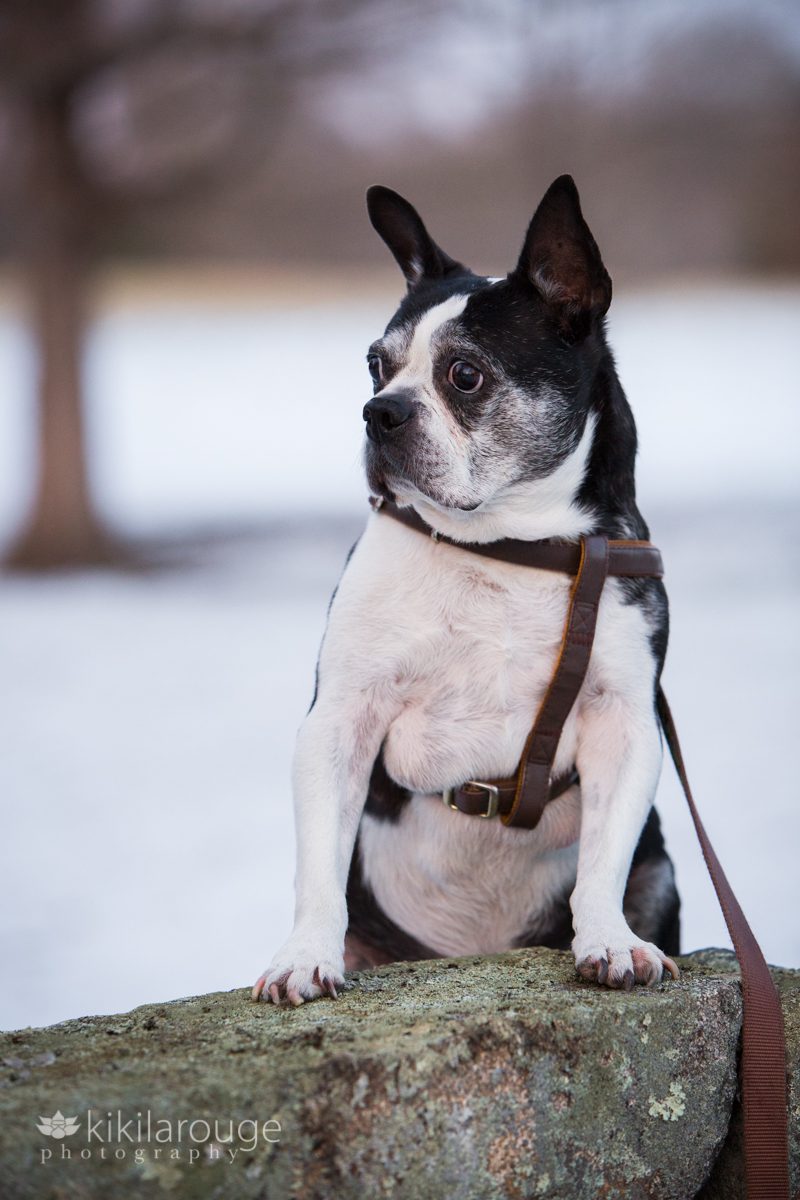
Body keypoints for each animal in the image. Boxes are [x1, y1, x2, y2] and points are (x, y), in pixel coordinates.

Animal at [253, 175, 681, 1003]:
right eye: (374, 366)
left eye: (465, 374)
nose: (378, 411)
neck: (505, 546)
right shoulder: (342, 717)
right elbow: (318, 864)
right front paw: (302, 957)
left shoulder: (625, 723)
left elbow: (603, 861)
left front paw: (611, 941)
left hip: (665, 875)